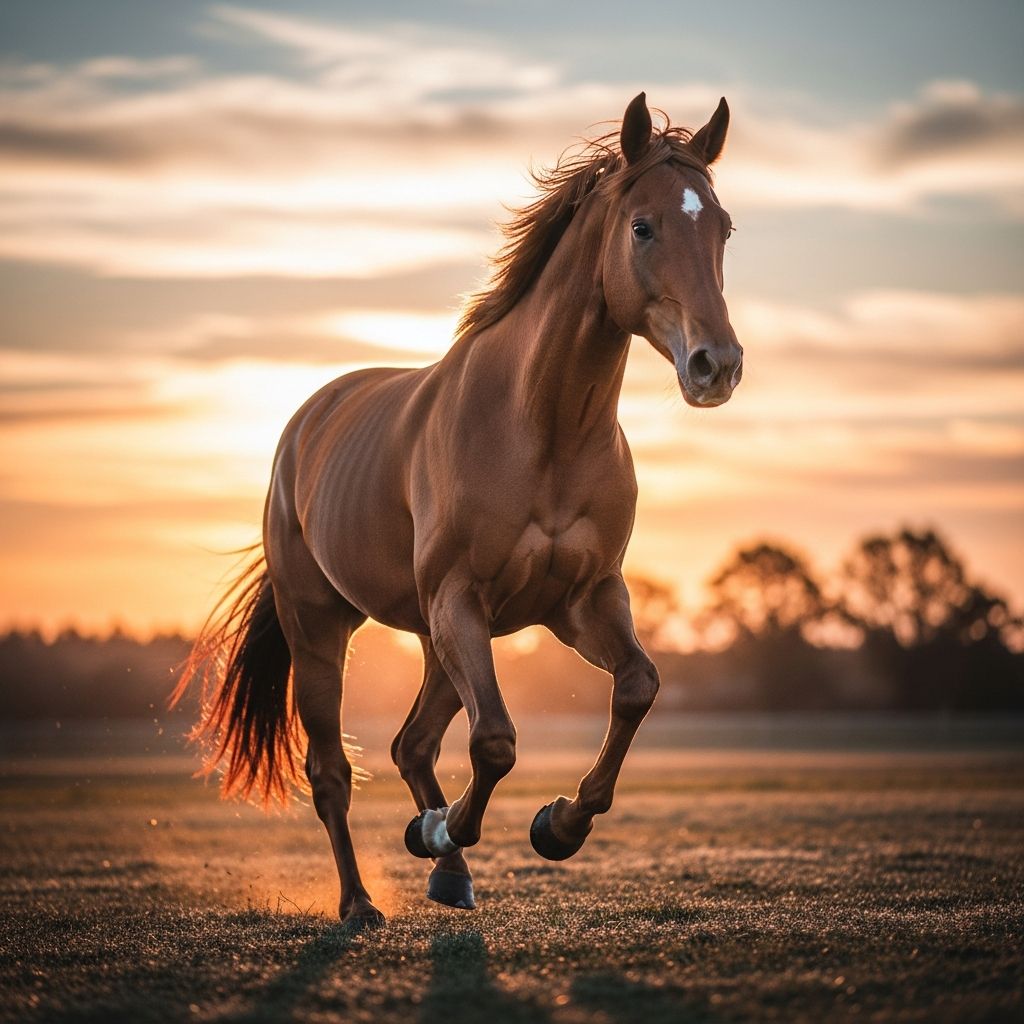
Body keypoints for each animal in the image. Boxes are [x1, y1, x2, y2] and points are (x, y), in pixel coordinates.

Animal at [174, 92, 743, 927]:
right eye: (644, 226)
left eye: (723, 228)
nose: (716, 365)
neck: (542, 425)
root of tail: (307, 422)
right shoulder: (462, 600)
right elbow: (497, 741)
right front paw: (451, 830)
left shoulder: (583, 600)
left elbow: (637, 687)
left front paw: (557, 824)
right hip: (328, 630)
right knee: (332, 771)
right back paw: (363, 902)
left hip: (434, 639)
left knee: (411, 743)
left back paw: (447, 871)